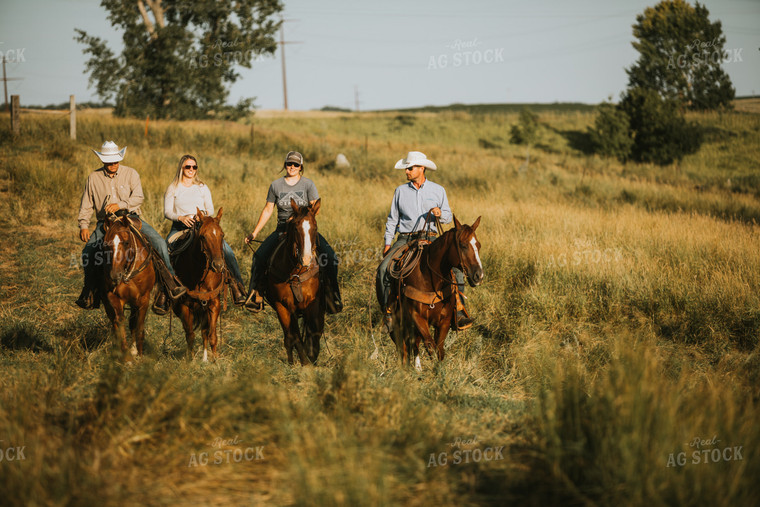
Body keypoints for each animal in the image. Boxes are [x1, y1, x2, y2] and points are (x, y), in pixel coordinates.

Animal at [101, 214, 157, 362]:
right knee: (115, 322)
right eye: (106, 244)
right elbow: (120, 322)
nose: (115, 275)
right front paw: (127, 357)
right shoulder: (113, 297)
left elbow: (139, 326)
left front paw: (140, 354)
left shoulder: (144, 299)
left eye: (126, 242)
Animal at [173, 208, 227, 364]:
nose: (218, 265)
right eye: (203, 236)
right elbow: (190, 335)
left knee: (204, 332)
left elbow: (212, 335)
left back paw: (204, 358)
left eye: (222, 235)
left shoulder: (214, 304)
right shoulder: (184, 306)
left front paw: (216, 361)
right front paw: (190, 360)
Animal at [262, 198, 324, 366]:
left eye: (315, 227)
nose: (306, 259)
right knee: (289, 336)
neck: (296, 272)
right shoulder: (285, 306)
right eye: (296, 227)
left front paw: (312, 356)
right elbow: (294, 336)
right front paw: (305, 363)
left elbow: (313, 331)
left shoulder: (313, 302)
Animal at [386, 215, 480, 370]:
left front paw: (439, 370)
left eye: (478, 245)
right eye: (462, 245)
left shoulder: (445, 320)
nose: (479, 275)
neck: (431, 281)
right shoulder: (417, 317)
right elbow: (429, 345)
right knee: (405, 346)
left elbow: (439, 349)